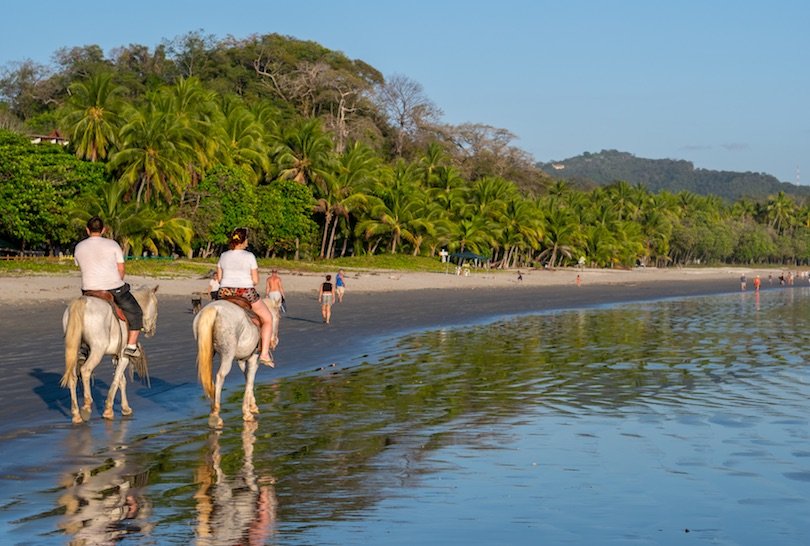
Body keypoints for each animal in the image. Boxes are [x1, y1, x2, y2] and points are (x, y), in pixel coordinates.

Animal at [61, 286, 158, 422]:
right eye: (156, 305)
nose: (152, 330)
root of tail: (82, 301)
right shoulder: (123, 356)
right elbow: (117, 379)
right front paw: (108, 410)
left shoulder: (115, 357)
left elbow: (122, 381)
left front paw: (125, 408)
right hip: (98, 350)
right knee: (85, 370)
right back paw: (86, 407)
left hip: (73, 351)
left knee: (73, 377)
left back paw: (76, 414)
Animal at [193, 296, 280, 428]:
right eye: (278, 317)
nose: (275, 341)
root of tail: (214, 309)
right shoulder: (253, 359)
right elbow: (250, 380)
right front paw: (247, 413)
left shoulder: (242, 361)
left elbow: (247, 378)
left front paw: (252, 406)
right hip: (227, 354)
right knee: (220, 376)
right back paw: (215, 415)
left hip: (207, 351)